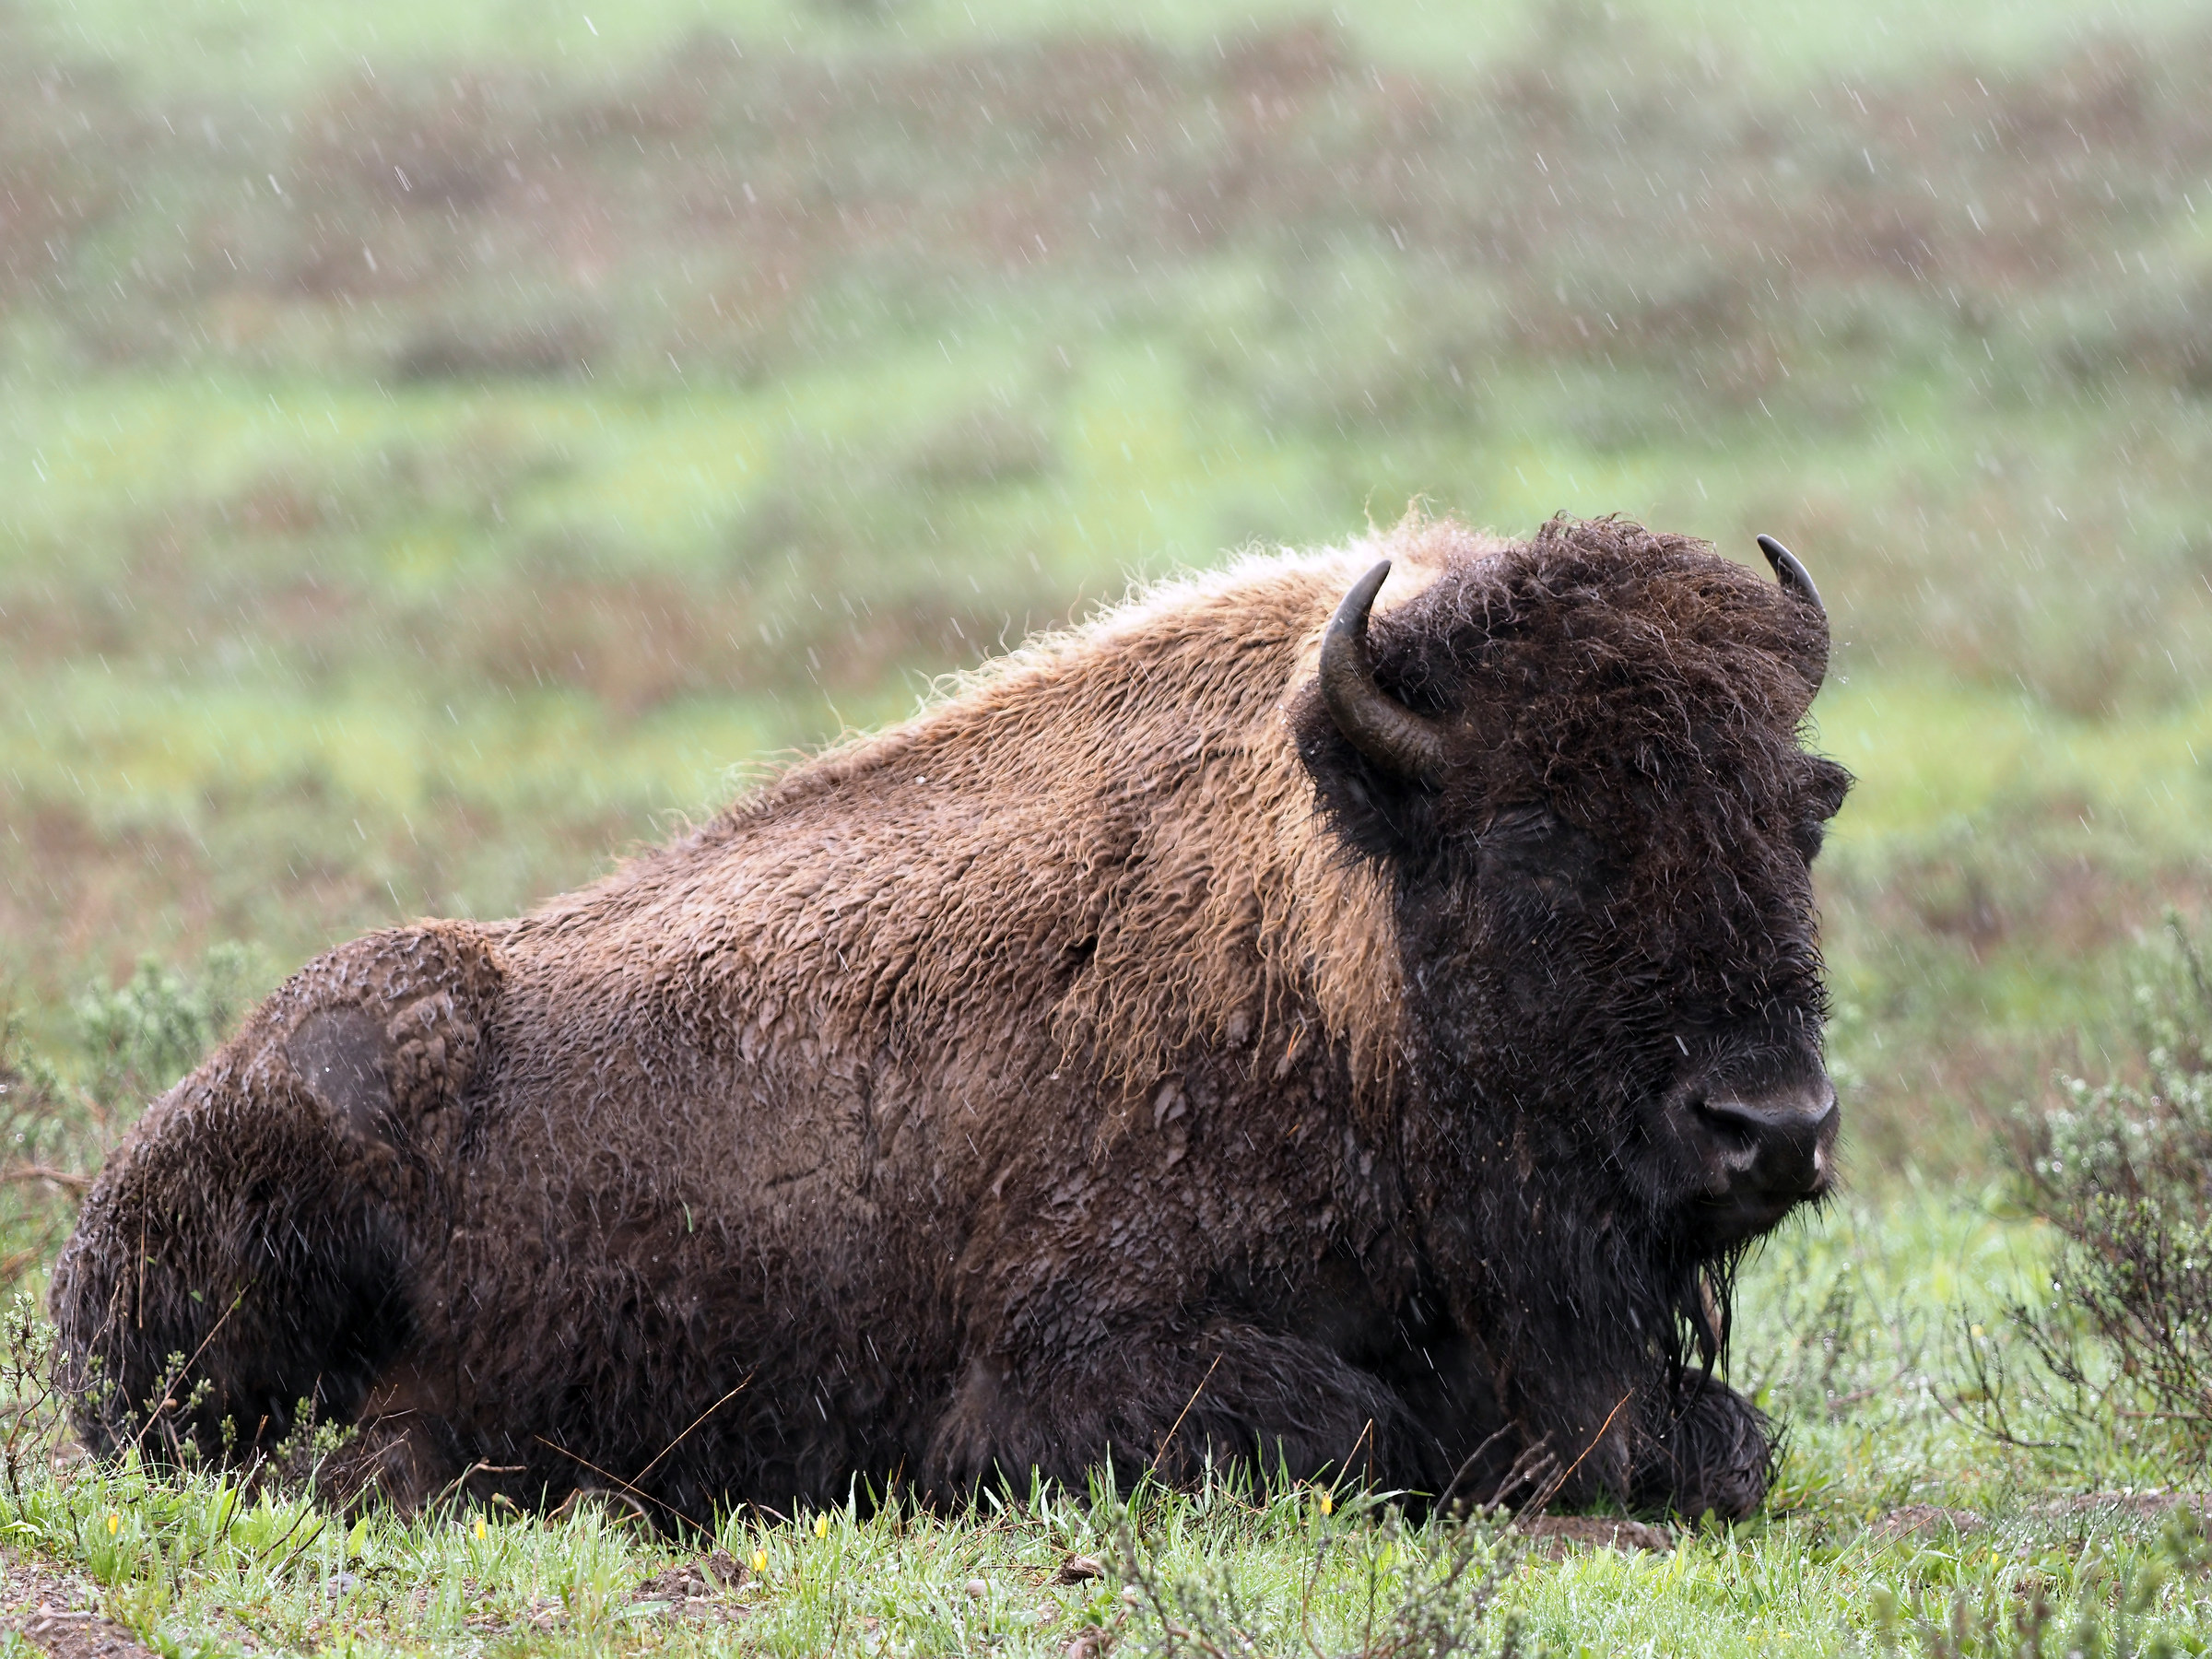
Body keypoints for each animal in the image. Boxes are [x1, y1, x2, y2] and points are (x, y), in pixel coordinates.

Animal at [51, 512, 1846, 1523]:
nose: (1773, 1128)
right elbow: (1363, 1432)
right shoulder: (1071, 1368)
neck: (1340, 937)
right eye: (1534, 834)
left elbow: (1715, 1439)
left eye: (1795, 816)